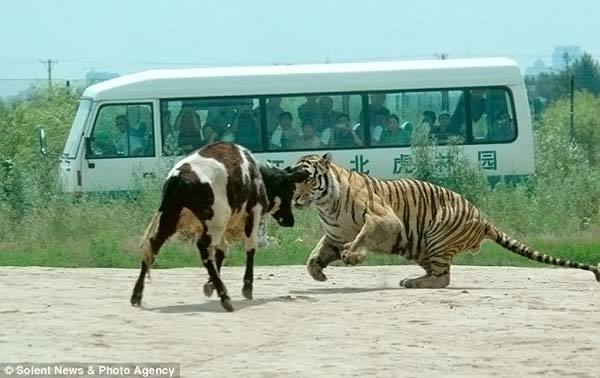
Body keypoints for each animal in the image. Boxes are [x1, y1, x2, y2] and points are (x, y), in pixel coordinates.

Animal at [129, 140, 308, 312]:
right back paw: (224, 297)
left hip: (171, 219)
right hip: (213, 222)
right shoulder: (252, 214)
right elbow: (250, 249)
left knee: (152, 246)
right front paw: (246, 287)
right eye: (290, 190)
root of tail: (179, 178)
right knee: (203, 249)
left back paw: (137, 294)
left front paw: (210, 285)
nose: (290, 220)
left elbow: (221, 252)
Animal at [292, 152, 600, 288]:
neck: (325, 205)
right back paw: (414, 279)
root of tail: (482, 217)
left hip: (436, 236)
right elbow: (314, 256)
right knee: (439, 274)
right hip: (421, 246)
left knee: (443, 278)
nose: (293, 198)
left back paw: (411, 282)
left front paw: (352, 256)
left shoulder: (384, 220)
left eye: (306, 178)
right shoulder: (335, 234)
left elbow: (363, 236)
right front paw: (318, 273)